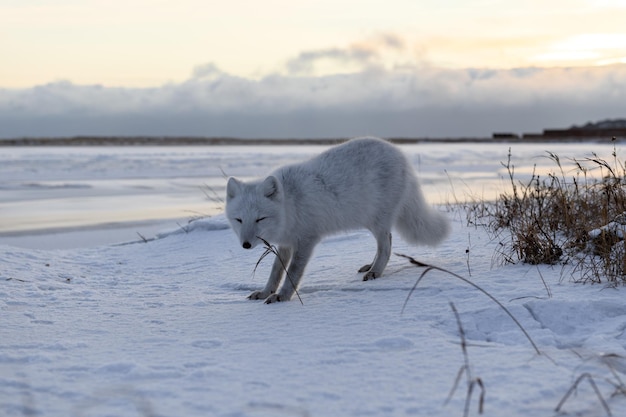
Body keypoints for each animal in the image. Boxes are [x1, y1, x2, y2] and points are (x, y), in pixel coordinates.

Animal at [224, 136, 448, 302]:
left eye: (260, 219)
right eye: (239, 220)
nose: (246, 245)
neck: (291, 204)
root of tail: (399, 153)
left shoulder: (306, 240)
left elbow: (293, 272)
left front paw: (283, 296)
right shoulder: (286, 243)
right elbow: (276, 271)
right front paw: (266, 292)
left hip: (378, 220)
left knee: (386, 245)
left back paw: (376, 271)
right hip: (370, 220)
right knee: (386, 243)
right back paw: (371, 266)